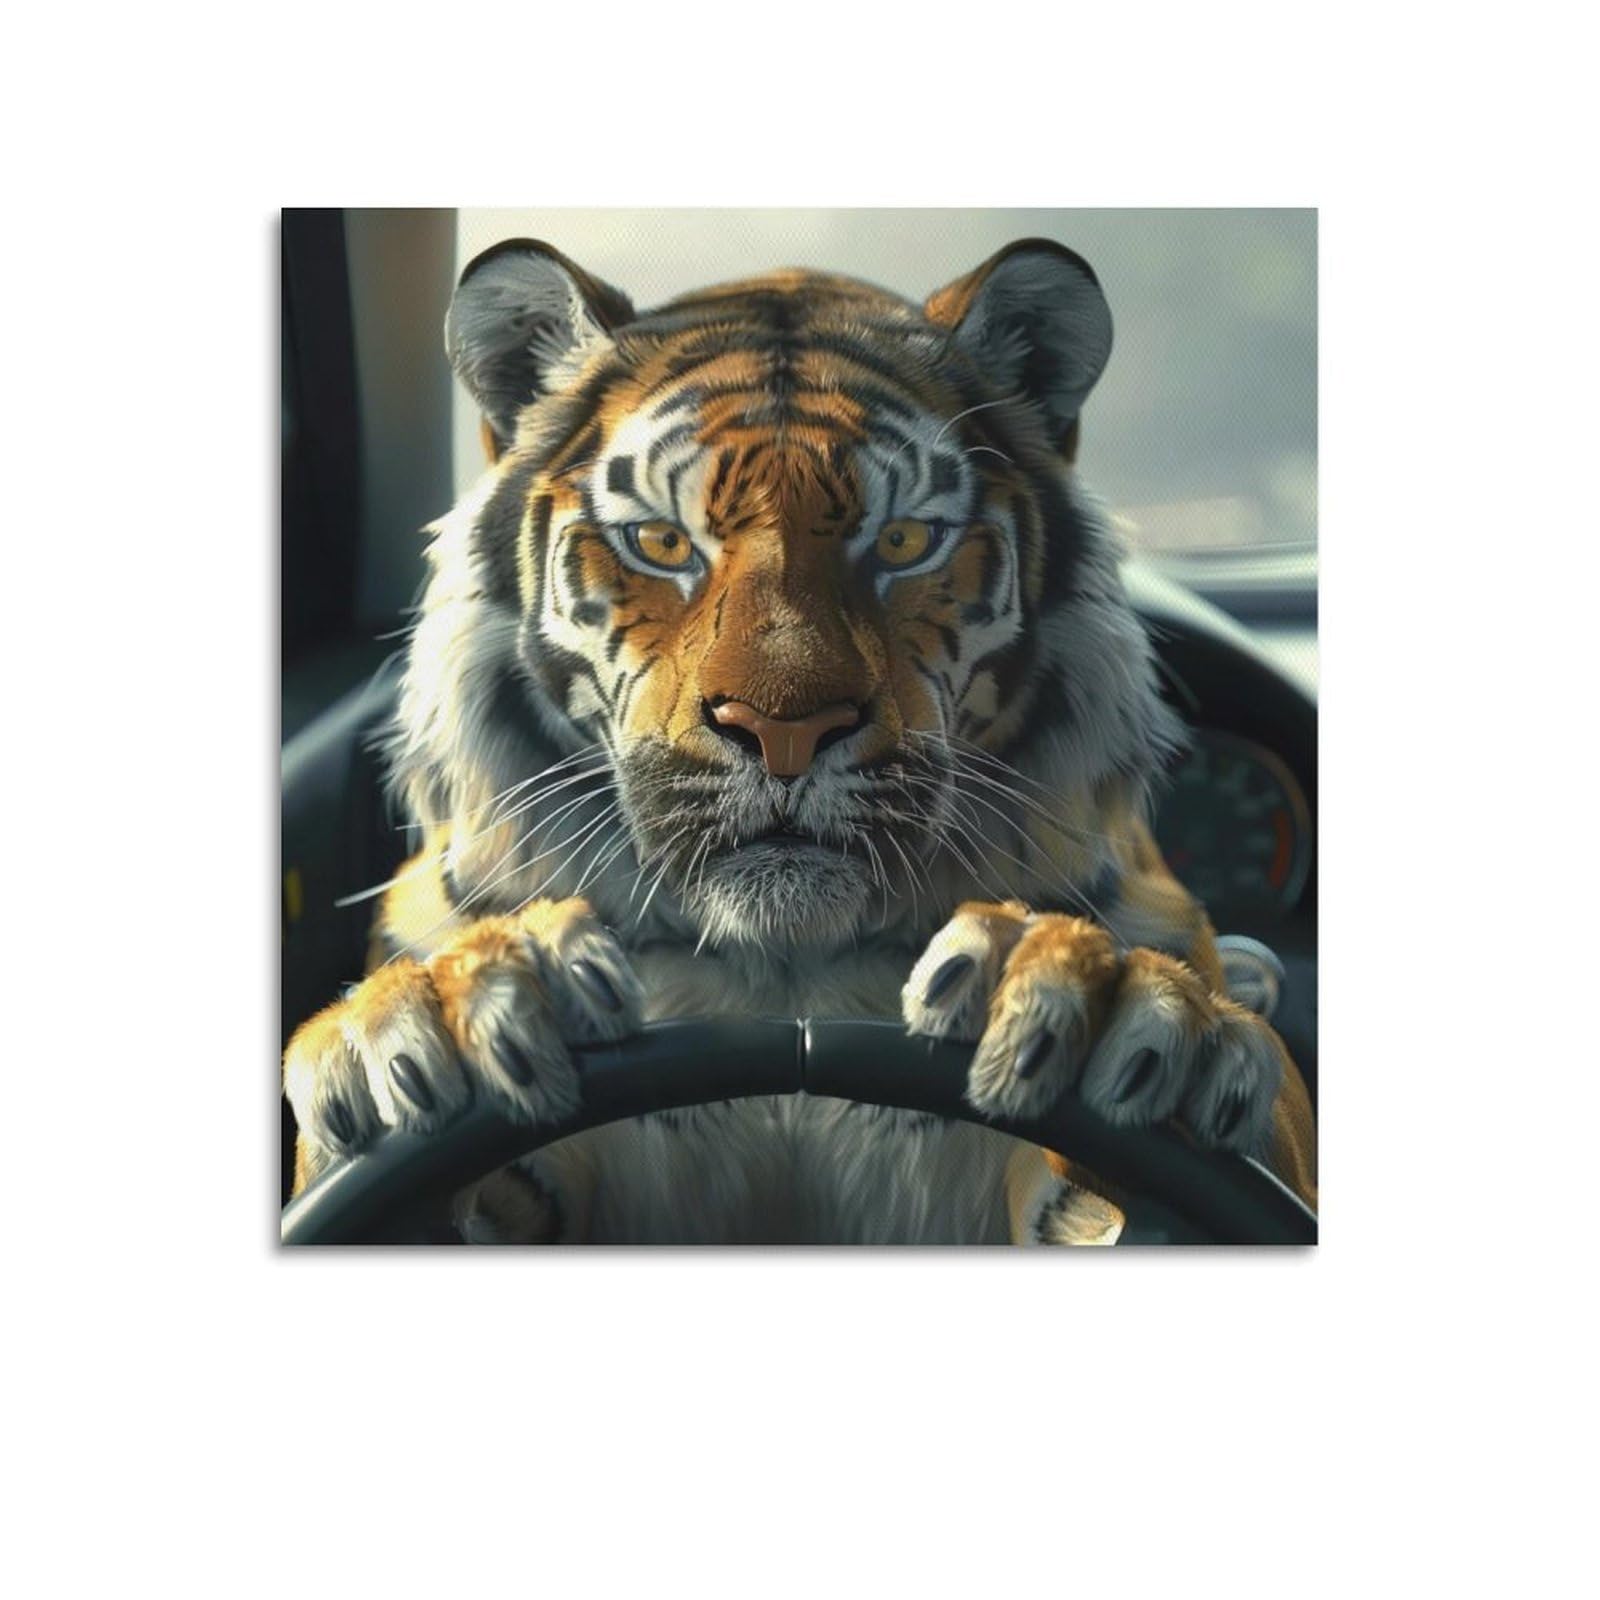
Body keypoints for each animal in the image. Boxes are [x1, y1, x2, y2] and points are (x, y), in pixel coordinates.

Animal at [282, 235, 1317, 1244]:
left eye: (902, 542)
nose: (784, 728)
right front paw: (451, 1014)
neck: (783, 972)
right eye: (663, 543)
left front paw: (1113, 1010)